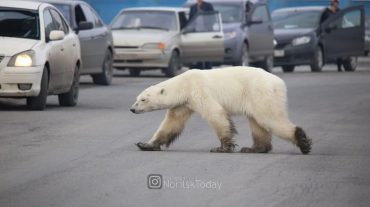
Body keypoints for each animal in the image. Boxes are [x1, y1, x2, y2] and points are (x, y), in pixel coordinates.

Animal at [130, 66, 312, 154]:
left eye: (143, 99)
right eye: (136, 98)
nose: (132, 109)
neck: (184, 84)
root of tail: (280, 82)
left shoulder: (199, 91)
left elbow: (215, 114)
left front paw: (222, 147)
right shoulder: (184, 103)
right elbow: (172, 123)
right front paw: (145, 144)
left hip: (260, 93)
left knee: (270, 118)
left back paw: (303, 142)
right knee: (257, 123)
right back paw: (254, 148)